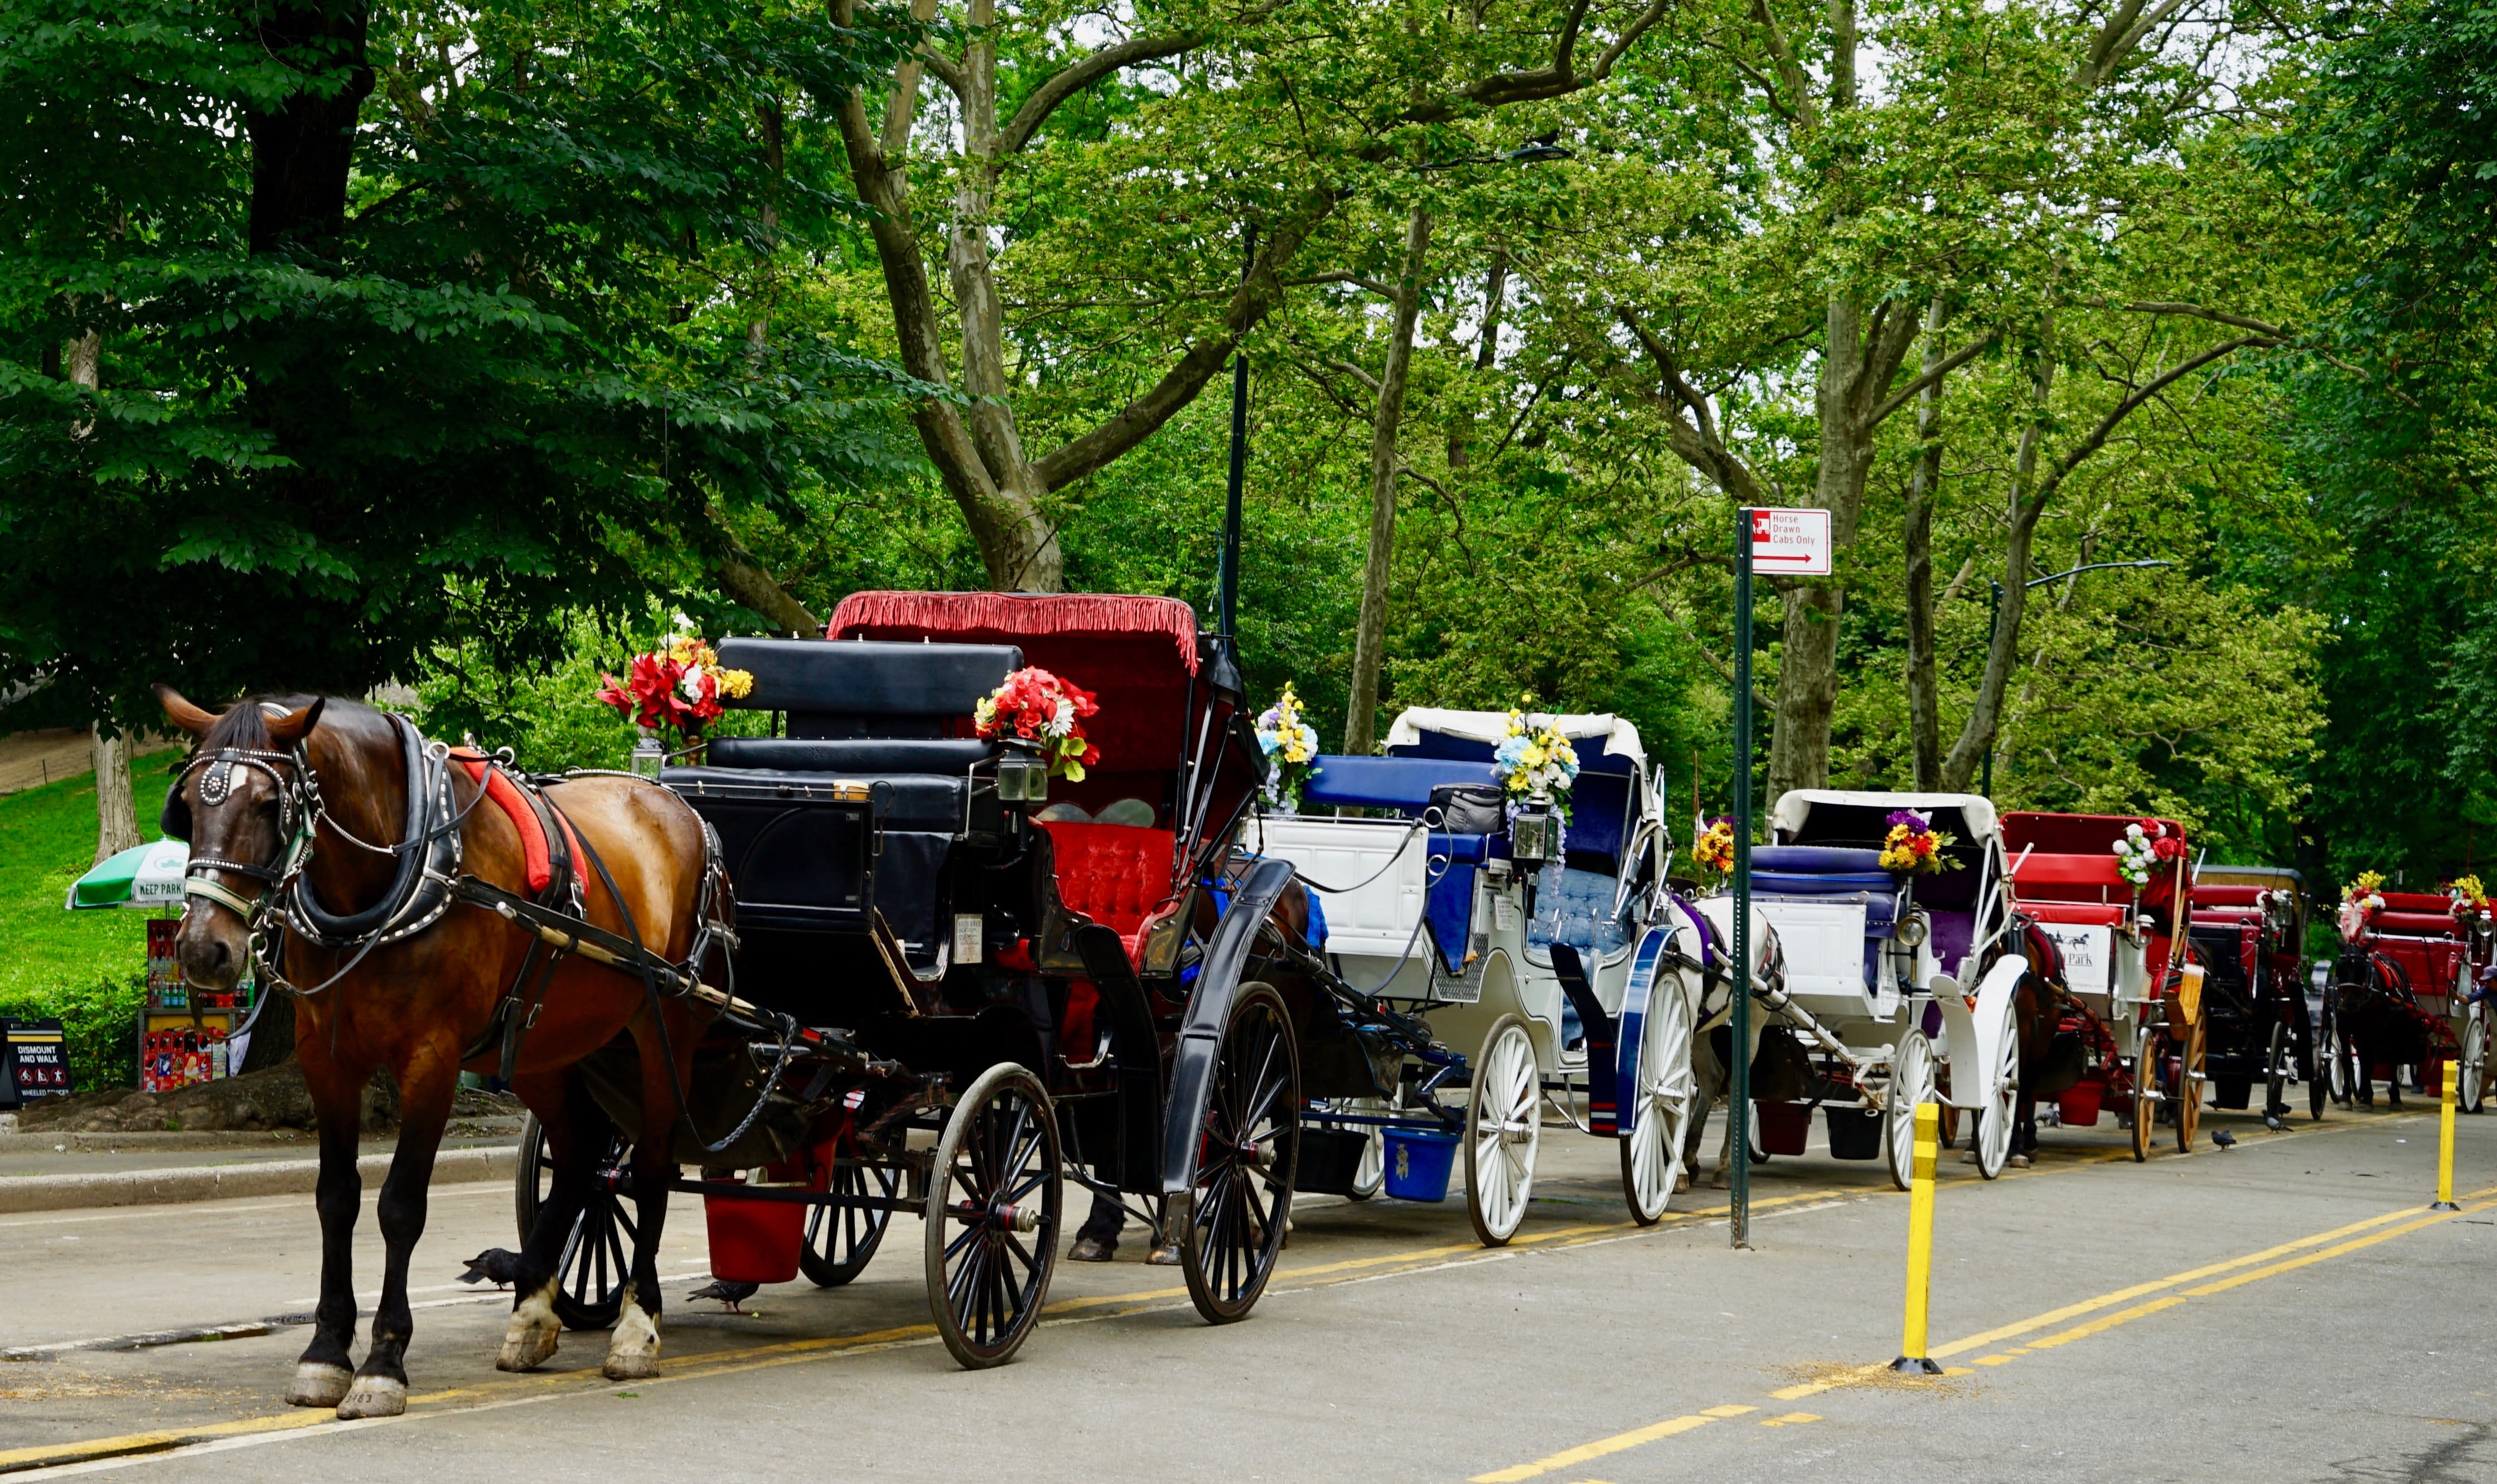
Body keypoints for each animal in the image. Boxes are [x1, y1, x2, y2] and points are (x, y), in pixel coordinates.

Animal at [162, 689, 719, 1419]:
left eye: (266, 804)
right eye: (189, 802)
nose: (205, 949)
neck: (392, 876)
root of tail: (673, 801)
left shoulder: (433, 1059)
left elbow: (400, 1205)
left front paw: (382, 1363)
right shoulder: (326, 1060)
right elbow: (336, 1198)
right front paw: (325, 1352)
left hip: (664, 1029)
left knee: (651, 1164)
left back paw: (636, 1326)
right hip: (544, 1046)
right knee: (579, 1159)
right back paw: (532, 1314)